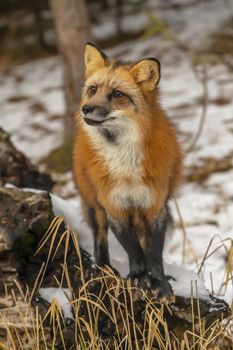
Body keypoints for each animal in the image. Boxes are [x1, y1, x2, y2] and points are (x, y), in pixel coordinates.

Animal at [73, 42, 183, 300]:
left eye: (117, 94)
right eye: (93, 89)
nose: (86, 108)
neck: (126, 168)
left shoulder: (154, 206)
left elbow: (153, 253)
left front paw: (160, 282)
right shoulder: (115, 206)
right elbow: (134, 251)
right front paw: (138, 278)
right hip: (94, 206)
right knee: (100, 239)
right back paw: (103, 269)